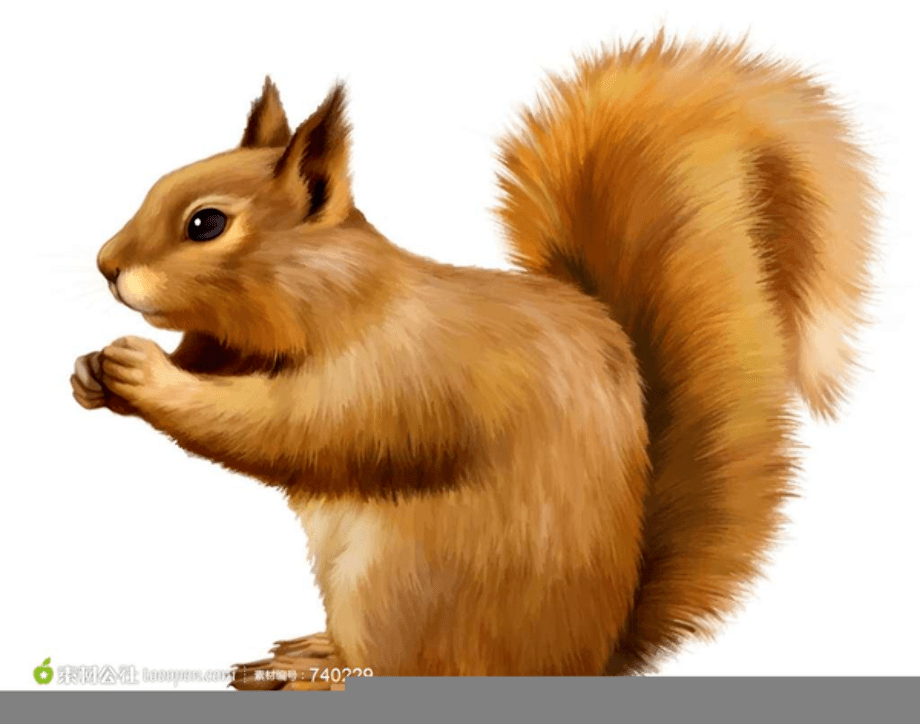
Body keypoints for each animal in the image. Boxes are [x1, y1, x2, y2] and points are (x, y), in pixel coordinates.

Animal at [71, 31, 876, 684]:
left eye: (206, 224)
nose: (106, 265)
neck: (341, 294)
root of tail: (582, 664)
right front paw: (91, 375)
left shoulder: (395, 375)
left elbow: (291, 428)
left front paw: (145, 373)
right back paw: (313, 651)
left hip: (400, 588)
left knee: (398, 668)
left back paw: (315, 675)